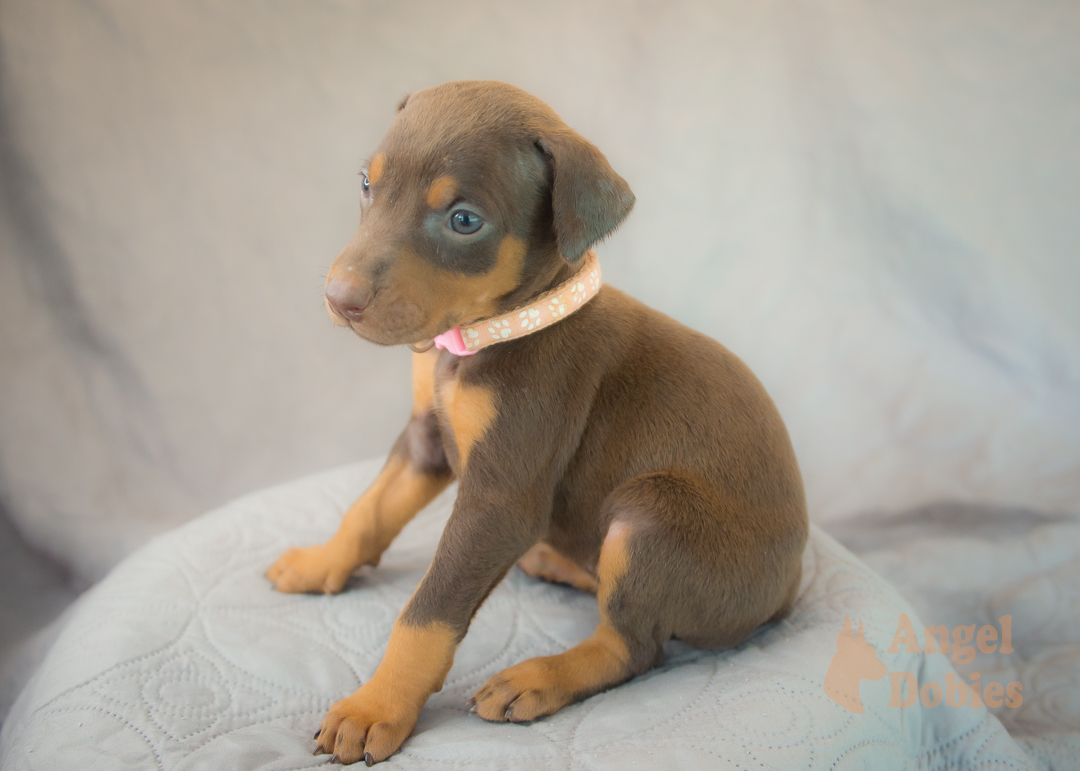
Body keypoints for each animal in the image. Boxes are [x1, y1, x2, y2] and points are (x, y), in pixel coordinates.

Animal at [267, 80, 812, 764]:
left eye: (464, 220)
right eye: (367, 184)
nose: (339, 300)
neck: (490, 332)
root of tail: (788, 591)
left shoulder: (499, 499)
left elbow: (428, 609)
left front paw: (376, 707)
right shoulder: (426, 440)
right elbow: (368, 511)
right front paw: (320, 563)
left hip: (653, 517)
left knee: (634, 646)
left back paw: (540, 676)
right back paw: (561, 561)